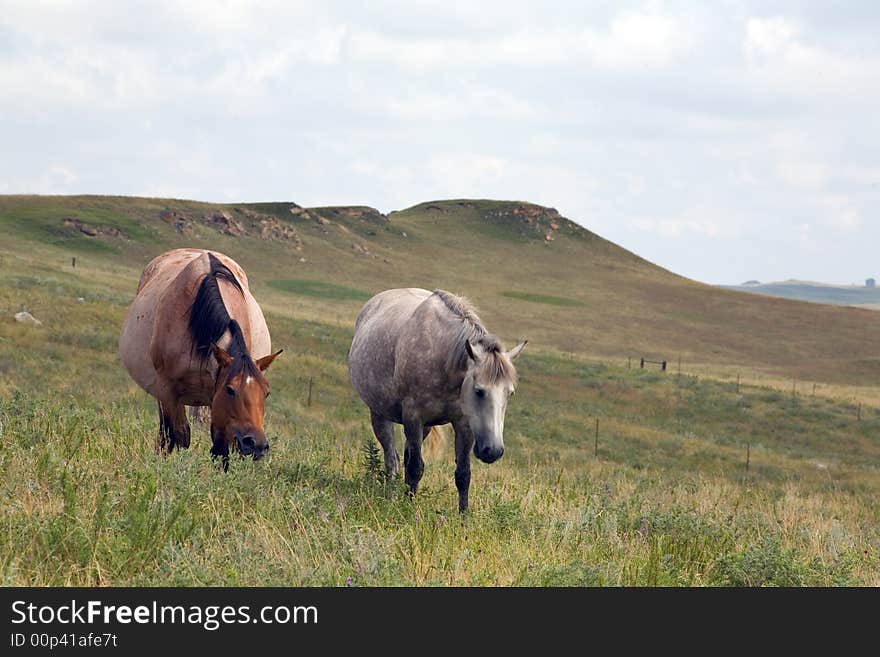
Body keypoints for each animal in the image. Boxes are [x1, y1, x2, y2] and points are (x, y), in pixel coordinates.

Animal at [118, 246, 280, 466]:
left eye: (266, 392)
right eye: (230, 390)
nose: (256, 444)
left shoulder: (216, 403)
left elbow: (219, 450)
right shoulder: (168, 390)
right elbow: (174, 436)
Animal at [348, 288, 524, 512]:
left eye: (510, 393)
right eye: (479, 391)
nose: (492, 451)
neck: (443, 359)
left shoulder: (463, 424)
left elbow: (463, 474)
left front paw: (463, 516)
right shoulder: (413, 417)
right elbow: (415, 467)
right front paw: (408, 509)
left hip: (425, 427)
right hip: (379, 414)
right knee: (392, 460)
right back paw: (392, 496)